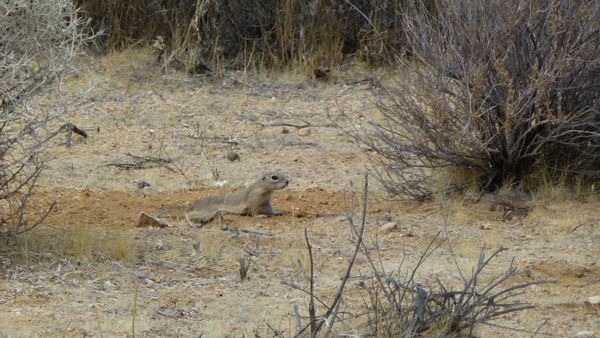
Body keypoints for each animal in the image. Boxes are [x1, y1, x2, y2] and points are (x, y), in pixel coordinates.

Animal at [157, 172, 290, 224]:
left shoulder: (266, 202)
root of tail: (193, 205)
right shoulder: (253, 201)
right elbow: (253, 211)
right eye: (274, 177)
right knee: (187, 215)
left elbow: (271, 210)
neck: (265, 190)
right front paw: (260, 216)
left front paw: (278, 212)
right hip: (206, 214)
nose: (288, 181)